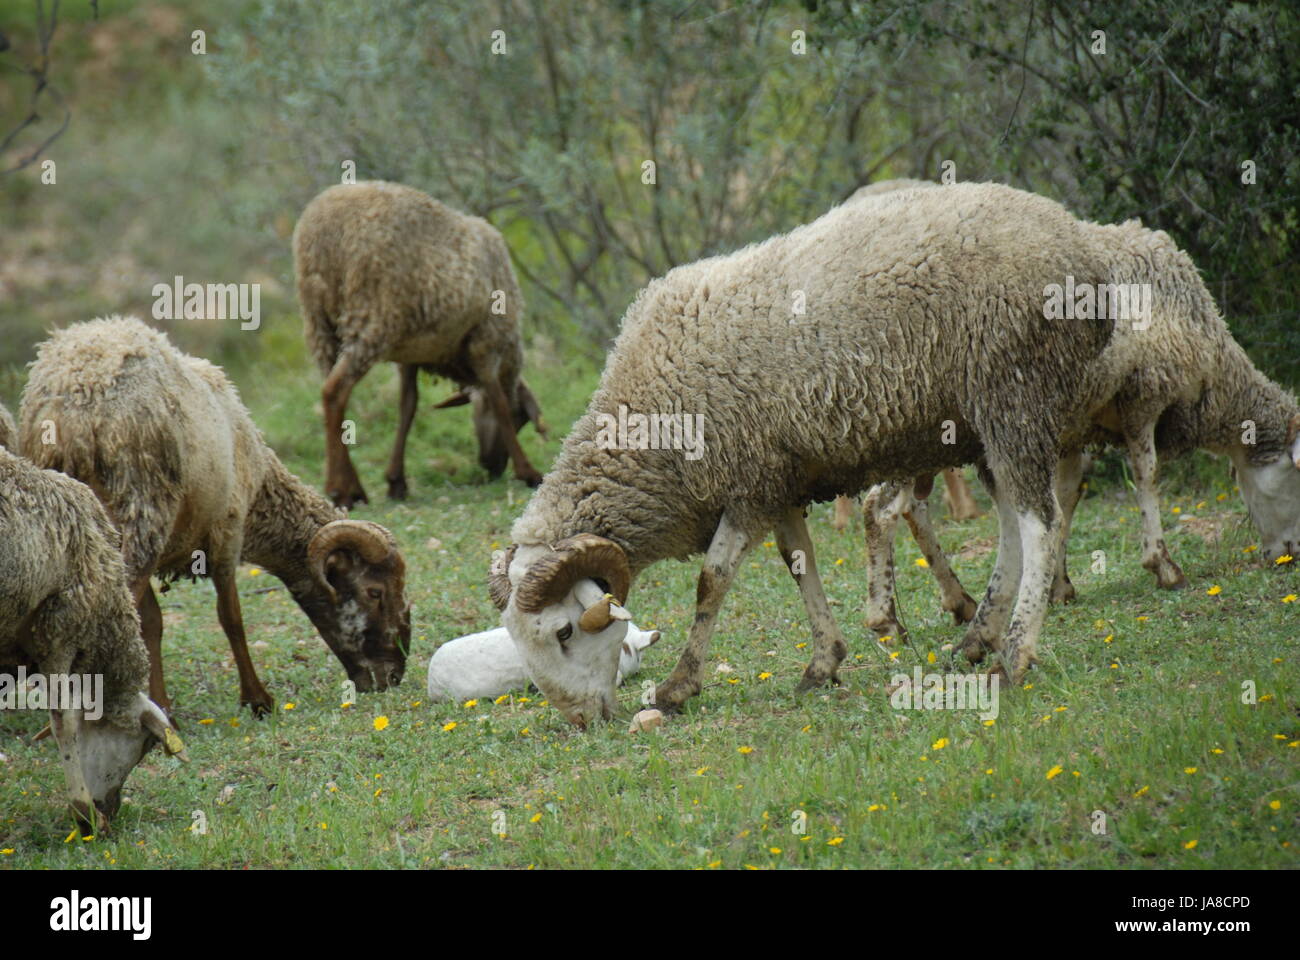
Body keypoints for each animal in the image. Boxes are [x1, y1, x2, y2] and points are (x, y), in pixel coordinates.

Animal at [19, 316, 413, 716]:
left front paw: (163, 704)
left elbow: (153, 622)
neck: (261, 486)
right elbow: (231, 618)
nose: (394, 675)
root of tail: (75, 409)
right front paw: (257, 699)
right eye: (375, 592)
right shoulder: (226, 531)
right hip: (142, 511)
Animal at [293, 181, 549, 507]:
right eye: (521, 418)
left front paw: (396, 481)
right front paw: (528, 471)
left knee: (332, 393)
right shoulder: (486, 341)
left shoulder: (410, 356)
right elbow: (500, 402)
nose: (492, 468)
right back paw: (341, 489)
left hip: (320, 325)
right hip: (372, 319)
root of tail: (326, 233)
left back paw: (351, 485)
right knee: (335, 391)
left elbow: (408, 407)